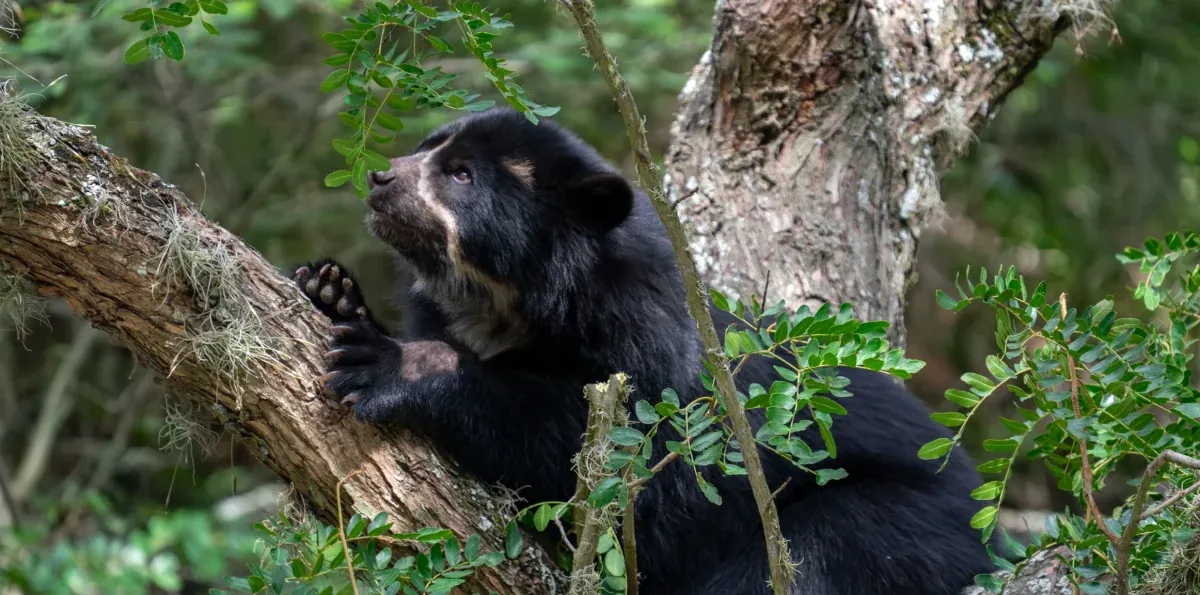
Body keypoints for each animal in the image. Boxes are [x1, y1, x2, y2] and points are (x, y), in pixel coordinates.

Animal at [293, 107, 996, 595]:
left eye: (461, 174)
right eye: (426, 147)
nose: (381, 178)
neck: (506, 302)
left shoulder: (649, 349)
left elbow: (613, 461)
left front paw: (389, 365)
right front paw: (329, 291)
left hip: (892, 524)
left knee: (798, 562)